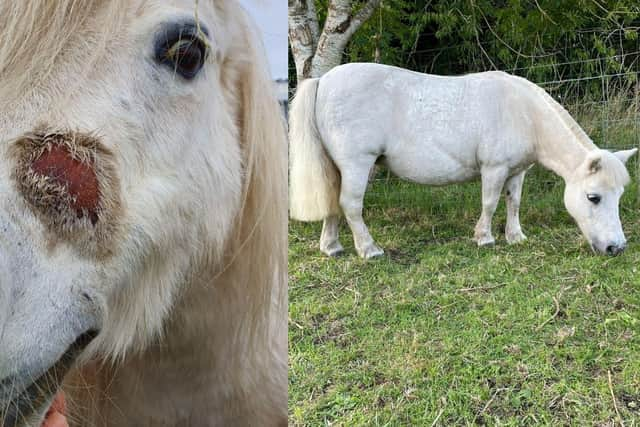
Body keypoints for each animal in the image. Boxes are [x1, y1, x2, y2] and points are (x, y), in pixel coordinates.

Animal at [292, 61, 640, 260]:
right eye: (593, 197)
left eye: (619, 196)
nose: (616, 248)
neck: (525, 113)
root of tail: (323, 81)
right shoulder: (494, 169)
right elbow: (490, 202)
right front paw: (484, 238)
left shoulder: (517, 172)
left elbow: (513, 203)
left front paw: (515, 237)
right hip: (356, 164)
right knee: (350, 205)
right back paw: (369, 250)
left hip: (337, 167)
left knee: (333, 202)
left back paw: (332, 247)